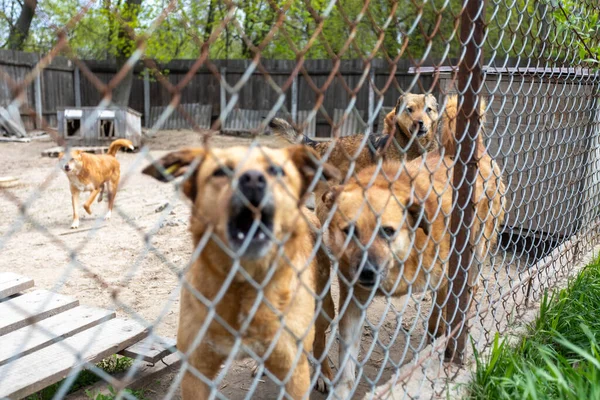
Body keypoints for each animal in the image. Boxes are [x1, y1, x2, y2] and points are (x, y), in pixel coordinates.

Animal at [142, 145, 342, 398]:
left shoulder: (294, 372)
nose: (253, 179)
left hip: (324, 308)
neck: (244, 284)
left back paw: (324, 373)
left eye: (276, 170)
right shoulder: (195, 373)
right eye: (221, 171)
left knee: (319, 341)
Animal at [316, 152, 504, 398]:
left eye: (387, 231)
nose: (367, 271)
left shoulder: (448, 276)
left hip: (474, 257)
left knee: (467, 292)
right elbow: (346, 365)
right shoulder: (353, 300)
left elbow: (446, 314)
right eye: (349, 231)